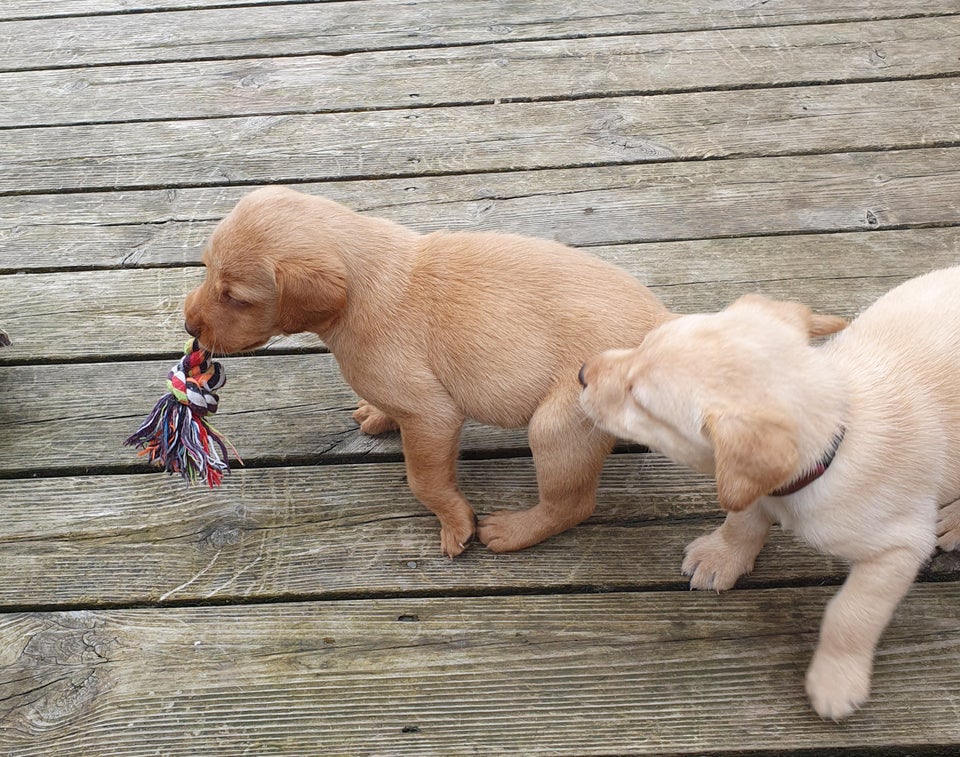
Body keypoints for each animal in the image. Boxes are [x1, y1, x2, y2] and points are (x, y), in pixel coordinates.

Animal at [184, 187, 672, 560]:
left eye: (236, 297)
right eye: (205, 270)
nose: (189, 327)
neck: (364, 283)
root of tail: (664, 327)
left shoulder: (432, 416)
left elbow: (424, 481)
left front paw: (456, 523)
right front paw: (378, 415)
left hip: (556, 427)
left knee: (573, 504)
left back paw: (514, 531)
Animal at [576, 268, 960, 716]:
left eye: (638, 400)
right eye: (642, 343)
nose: (581, 372)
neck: (837, 440)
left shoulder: (899, 547)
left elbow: (851, 614)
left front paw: (835, 679)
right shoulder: (746, 482)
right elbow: (742, 519)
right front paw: (723, 556)